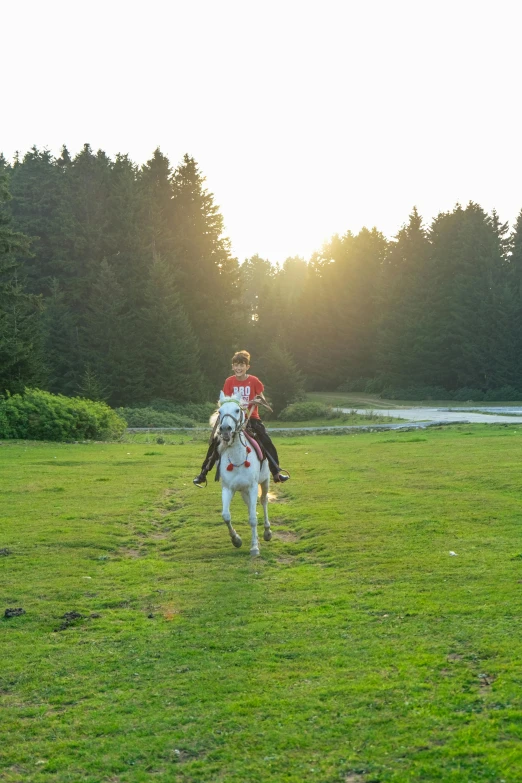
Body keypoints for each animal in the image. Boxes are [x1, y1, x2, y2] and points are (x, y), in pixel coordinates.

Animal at [212, 392, 272, 556]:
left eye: (237, 410)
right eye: (220, 412)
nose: (225, 429)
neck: (238, 458)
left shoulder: (253, 487)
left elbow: (252, 518)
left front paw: (254, 548)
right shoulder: (228, 489)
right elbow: (226, 516)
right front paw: (236, 540)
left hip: (265, 482)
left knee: (263, 501)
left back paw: (267, 532)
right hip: (244, 491)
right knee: (252, 507)